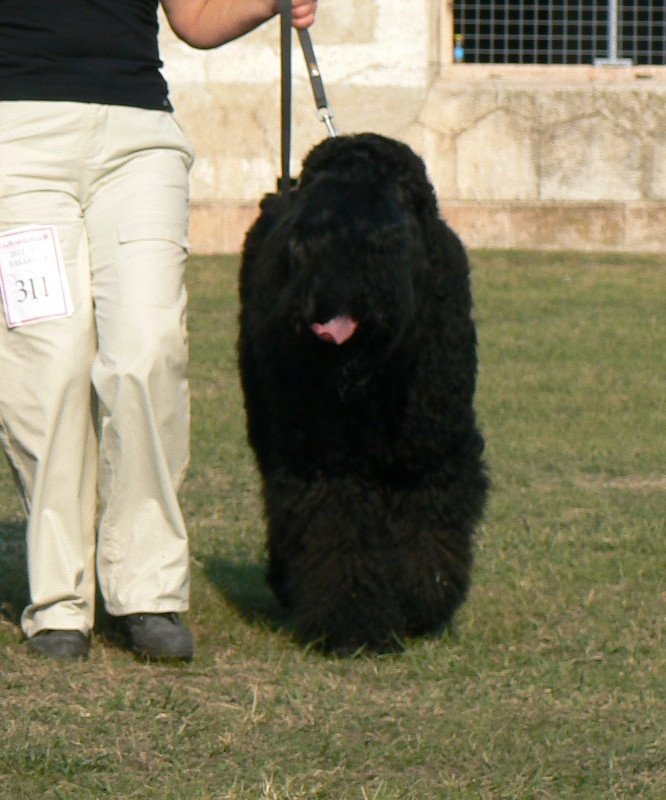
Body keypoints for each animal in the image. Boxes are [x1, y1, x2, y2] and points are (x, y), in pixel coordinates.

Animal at [236, 134, 486, 652]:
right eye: (303, 245)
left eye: (378, 242)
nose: (324, 303)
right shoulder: (328, 461)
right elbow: (339, 534)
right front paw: (351, 625)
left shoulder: (434, 451)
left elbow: (430, 530)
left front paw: (422, 602)